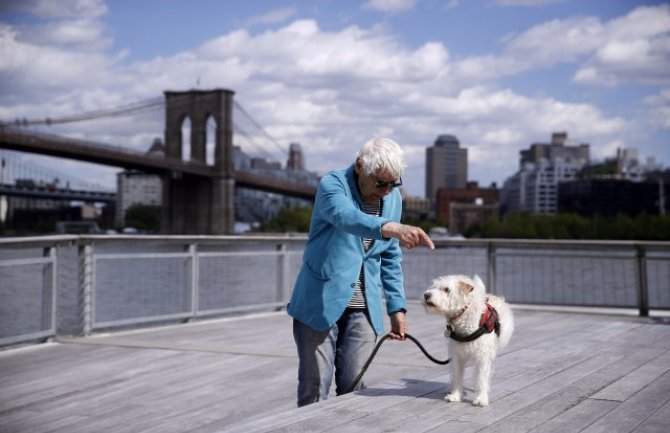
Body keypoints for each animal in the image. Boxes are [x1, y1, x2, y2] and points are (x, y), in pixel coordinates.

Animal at [422, 274, 516, 404]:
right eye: (434, 287)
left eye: (446, 289)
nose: (426, 295)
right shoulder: (457, 356)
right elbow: (457, 376)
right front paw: (455, 395)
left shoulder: (482, 356)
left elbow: (481, 377)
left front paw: (481, 398)